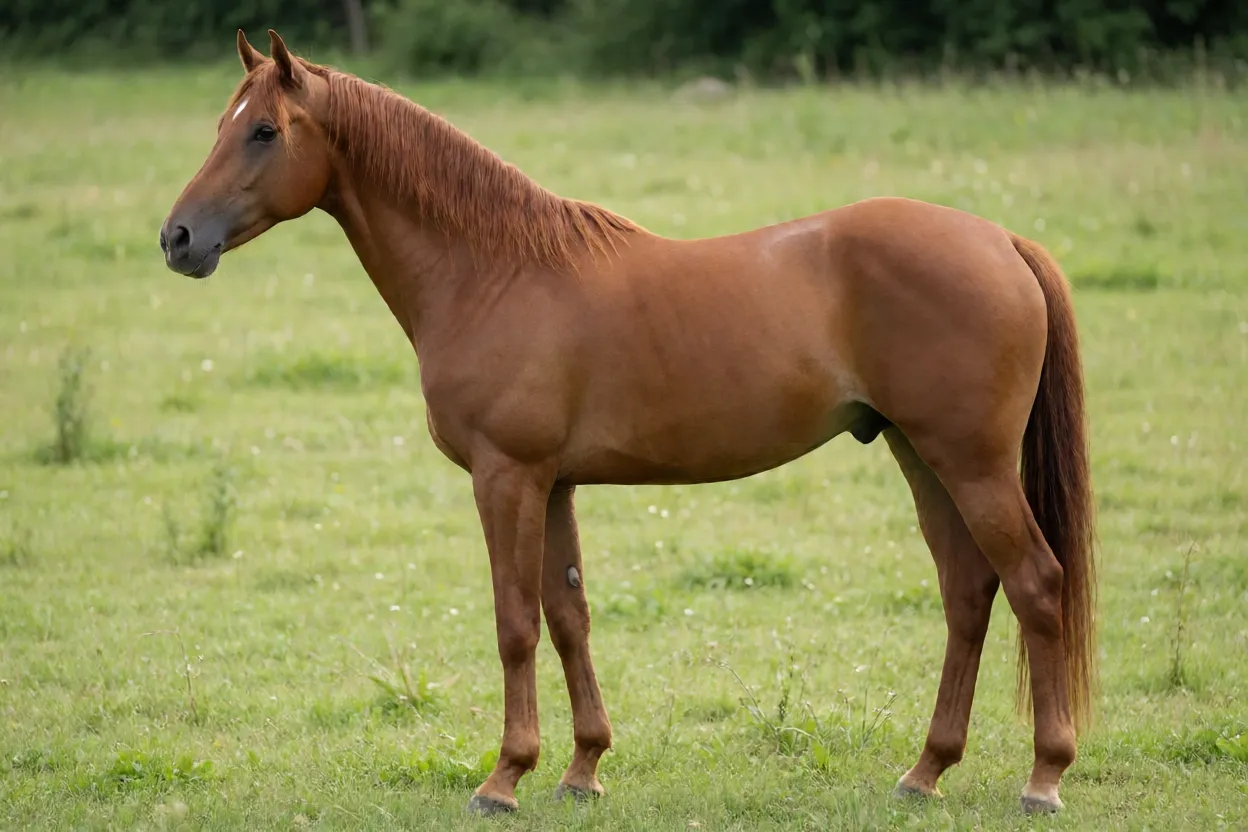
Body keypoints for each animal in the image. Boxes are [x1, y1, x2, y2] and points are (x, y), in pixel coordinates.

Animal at [160, 29, 1097, 817]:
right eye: (222, 124)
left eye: (264, 132)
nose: (177, 239)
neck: (495, 272)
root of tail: (1002, 240)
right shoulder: (555, 483)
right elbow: (568, 617)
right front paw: (581, 769)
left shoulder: (507, 477)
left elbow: (514, 623)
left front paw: (503, 779)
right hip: (921, 456)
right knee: (968, 592)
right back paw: (926, 770)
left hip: (972, 464)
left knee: (1035, 584)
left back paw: (1044, 777)